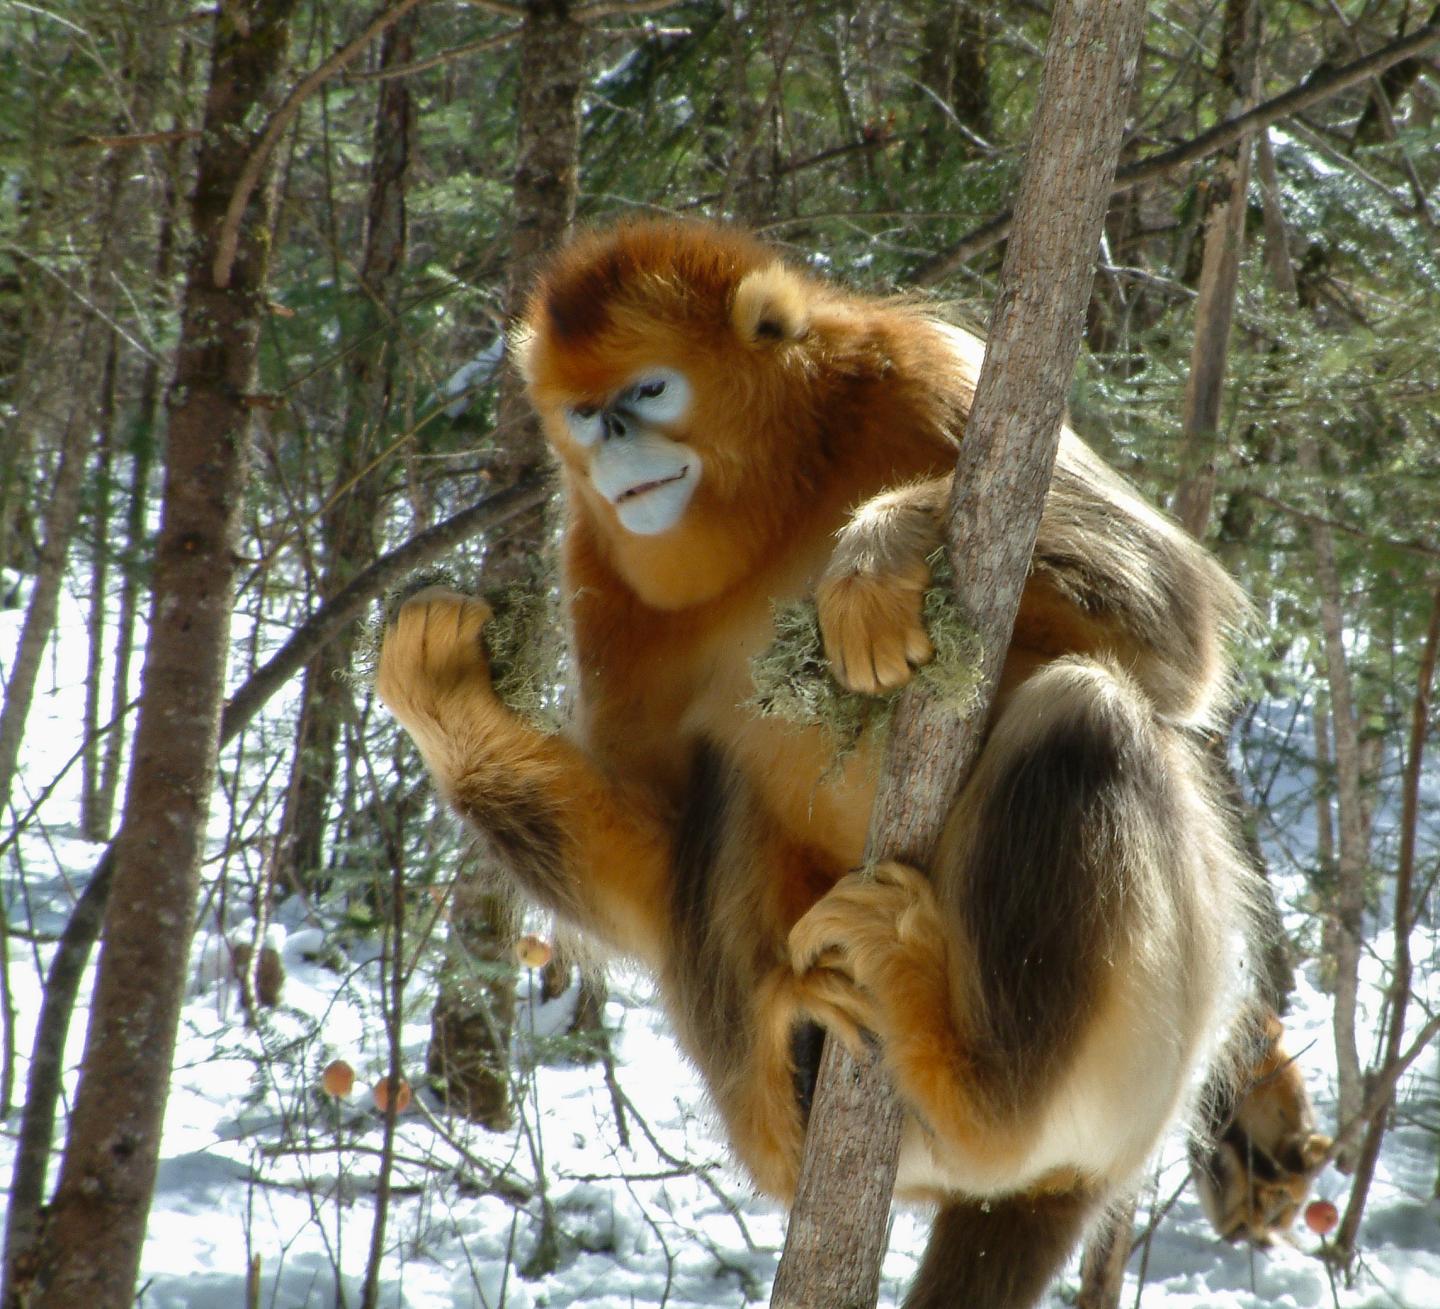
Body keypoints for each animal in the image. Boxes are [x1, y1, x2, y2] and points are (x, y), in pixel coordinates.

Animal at [375, 218, 1259, 1308]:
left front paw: (879, 553)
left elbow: (1180, 631)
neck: (780, 506)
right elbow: (655, 845)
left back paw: (974, 1083)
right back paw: (788, 1057)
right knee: (723, 789)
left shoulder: (935, 371)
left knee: (1085, 712)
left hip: (1136, 1059)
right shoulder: (599, 569)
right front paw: (448, 702)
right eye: (581, 411)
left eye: (649, 390)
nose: (611, 440)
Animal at [1191, 1013, 1331, 1245]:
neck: (1257, 1075)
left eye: (1262, 1041)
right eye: (1248, 1039)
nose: (1253, 1051)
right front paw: (1289, 1180)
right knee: (1223, 1150)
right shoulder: (1221, 1079)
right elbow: (1229, 1135)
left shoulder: (1288, 1072)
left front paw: (1312, 1150)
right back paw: (1238, 1220)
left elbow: (1297, 1132)